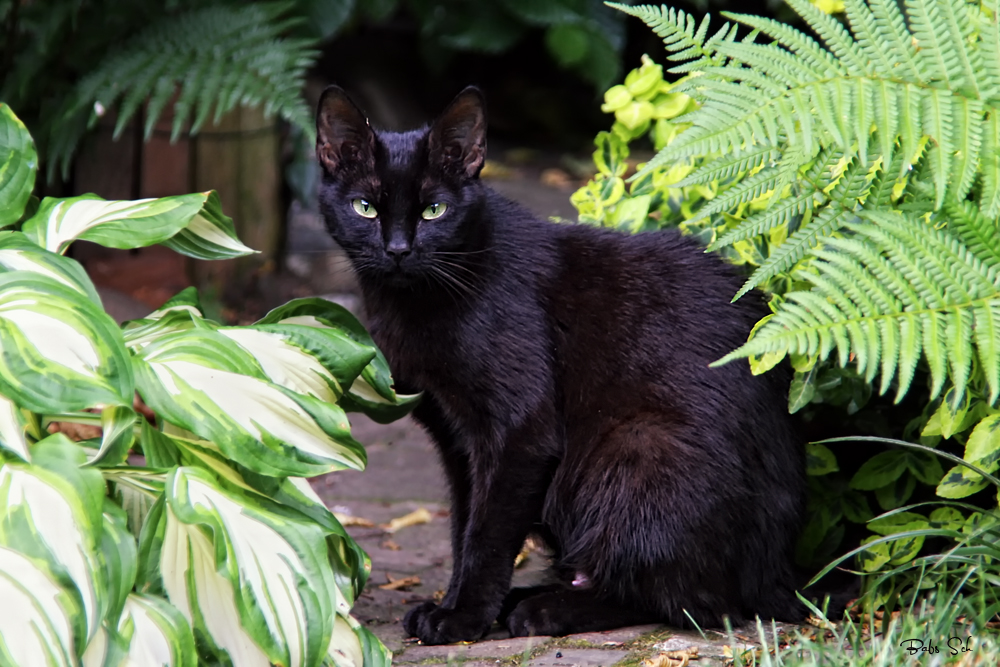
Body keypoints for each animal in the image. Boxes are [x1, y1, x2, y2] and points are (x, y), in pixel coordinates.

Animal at [316, 86, 808, 644]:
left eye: (435, 210)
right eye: (365, 208)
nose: (398, 249)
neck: (414, 304)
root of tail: (778, 574)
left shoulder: (520, 432)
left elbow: (486, 534)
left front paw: (462, 617)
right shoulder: (455, 439)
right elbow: (464, 525)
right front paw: (457, 604)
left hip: (638, 449)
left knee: (686, 601)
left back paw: (545, 610)